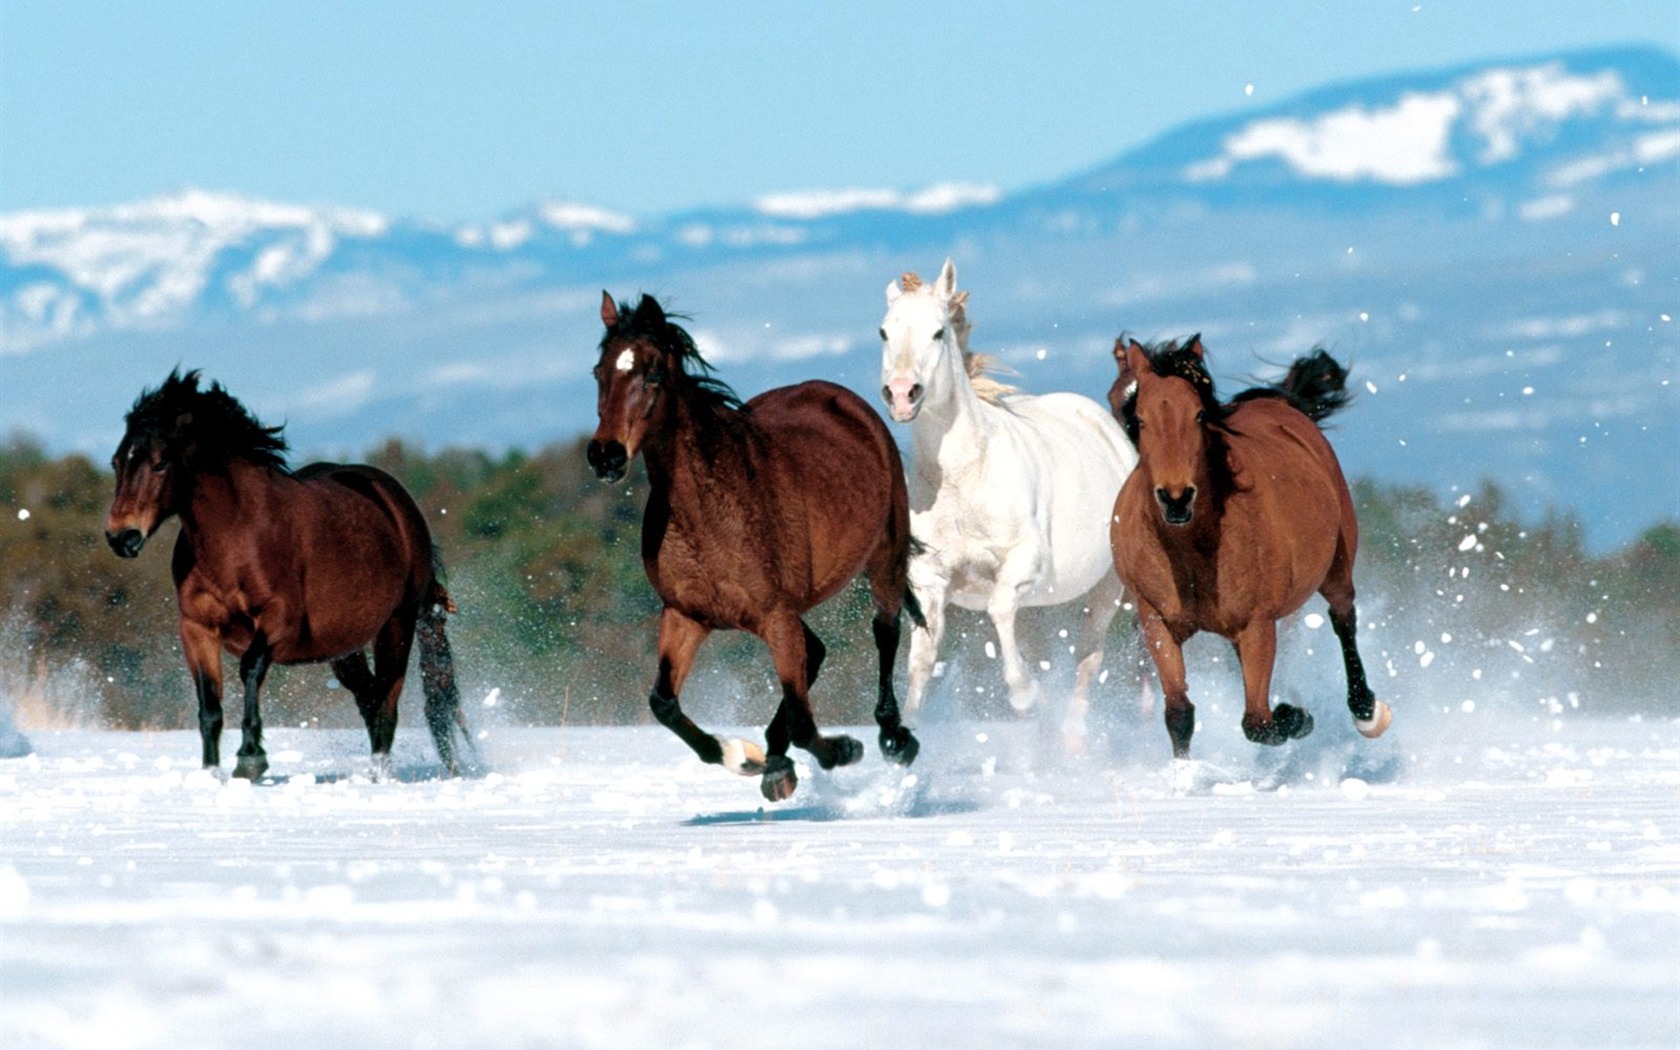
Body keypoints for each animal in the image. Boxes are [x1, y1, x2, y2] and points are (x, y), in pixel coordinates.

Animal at [103, 367, 473, 779]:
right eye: (117, 462)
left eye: (160, 463)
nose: (121, 536)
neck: (234, 534)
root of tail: (398, 504)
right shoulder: (196, 627)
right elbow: (209, 706)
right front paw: (212, 773)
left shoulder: (279, 619)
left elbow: (250, 669)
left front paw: (250, 758)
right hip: (344, 648)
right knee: (368, 698)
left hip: (397, 624)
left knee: (385, 704)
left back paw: (380, 775)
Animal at [581, 290, 920, 799]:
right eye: (599, 373)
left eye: (653, 374)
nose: (606, 456)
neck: (709, 513)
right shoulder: (686, 615)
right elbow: (664, 704)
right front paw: (746, 758)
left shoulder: (775, 616)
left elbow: (804, 721)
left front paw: (843, 749)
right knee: (817, 652)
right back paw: (776, 763)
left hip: (885, 556)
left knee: (885, 630)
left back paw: (894, 738)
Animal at [880, 260, 1142, 735]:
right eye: (884, 332)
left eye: (938, 332)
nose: (902, 394)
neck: (964, 480)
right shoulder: (930, 580)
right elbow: (922, 662)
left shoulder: (1024, 563)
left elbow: (999, 610)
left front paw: (1024, 696)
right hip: (1040, 607)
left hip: (1107, 589)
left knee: (1087, 661)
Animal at [1108, 339, 1397, 756]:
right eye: (1140, 418)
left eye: (1198, 415)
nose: (1176, 498)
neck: (1191, 550)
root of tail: (1280, 403)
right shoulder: (1156, 623)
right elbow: (1179, 713)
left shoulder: (1257, 626)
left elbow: (1257, 722)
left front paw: (1295, 717)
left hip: (1336, 566)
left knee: (1343, 618)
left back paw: (1366, 712)